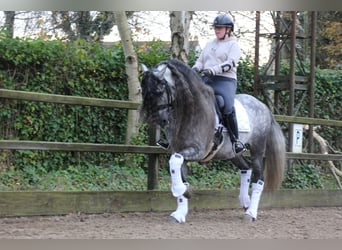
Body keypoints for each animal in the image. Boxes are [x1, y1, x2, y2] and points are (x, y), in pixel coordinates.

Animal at [139, 59, 286, 223]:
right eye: (143, 92)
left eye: (159, 91)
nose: (159, 120)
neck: (189, 112)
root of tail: (264, 107)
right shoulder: (179, 150)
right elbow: (177, 170)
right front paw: (180, 209)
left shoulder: (198, 151)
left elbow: (175, 162)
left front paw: (181, 191)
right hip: (231, 153)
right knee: (246, 168)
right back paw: (245, 201)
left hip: (258, 148)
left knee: (258, 178)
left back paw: (251, 213)